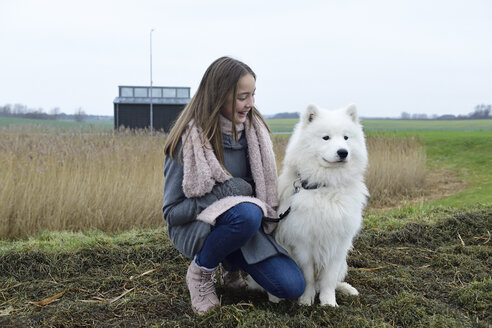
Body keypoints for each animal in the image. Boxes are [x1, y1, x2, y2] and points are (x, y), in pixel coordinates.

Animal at [274, 104, 368, 306]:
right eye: (326, 137)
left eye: (346, 137)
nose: (343, 152)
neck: (326, 186)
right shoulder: (303, 244)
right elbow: (308, 276)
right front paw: (306, 300)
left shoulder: (338, 245)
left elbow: (329, 279)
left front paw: (328, 303)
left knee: (337, 279)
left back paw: (347, 289)